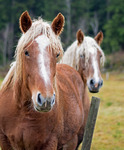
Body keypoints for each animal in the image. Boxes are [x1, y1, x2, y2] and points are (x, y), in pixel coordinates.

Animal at [0, 11, 84, 149]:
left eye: (56, 54)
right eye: (26, 52)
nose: (46, 99)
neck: (23, 111)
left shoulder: (49, 143)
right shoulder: (5, 142)